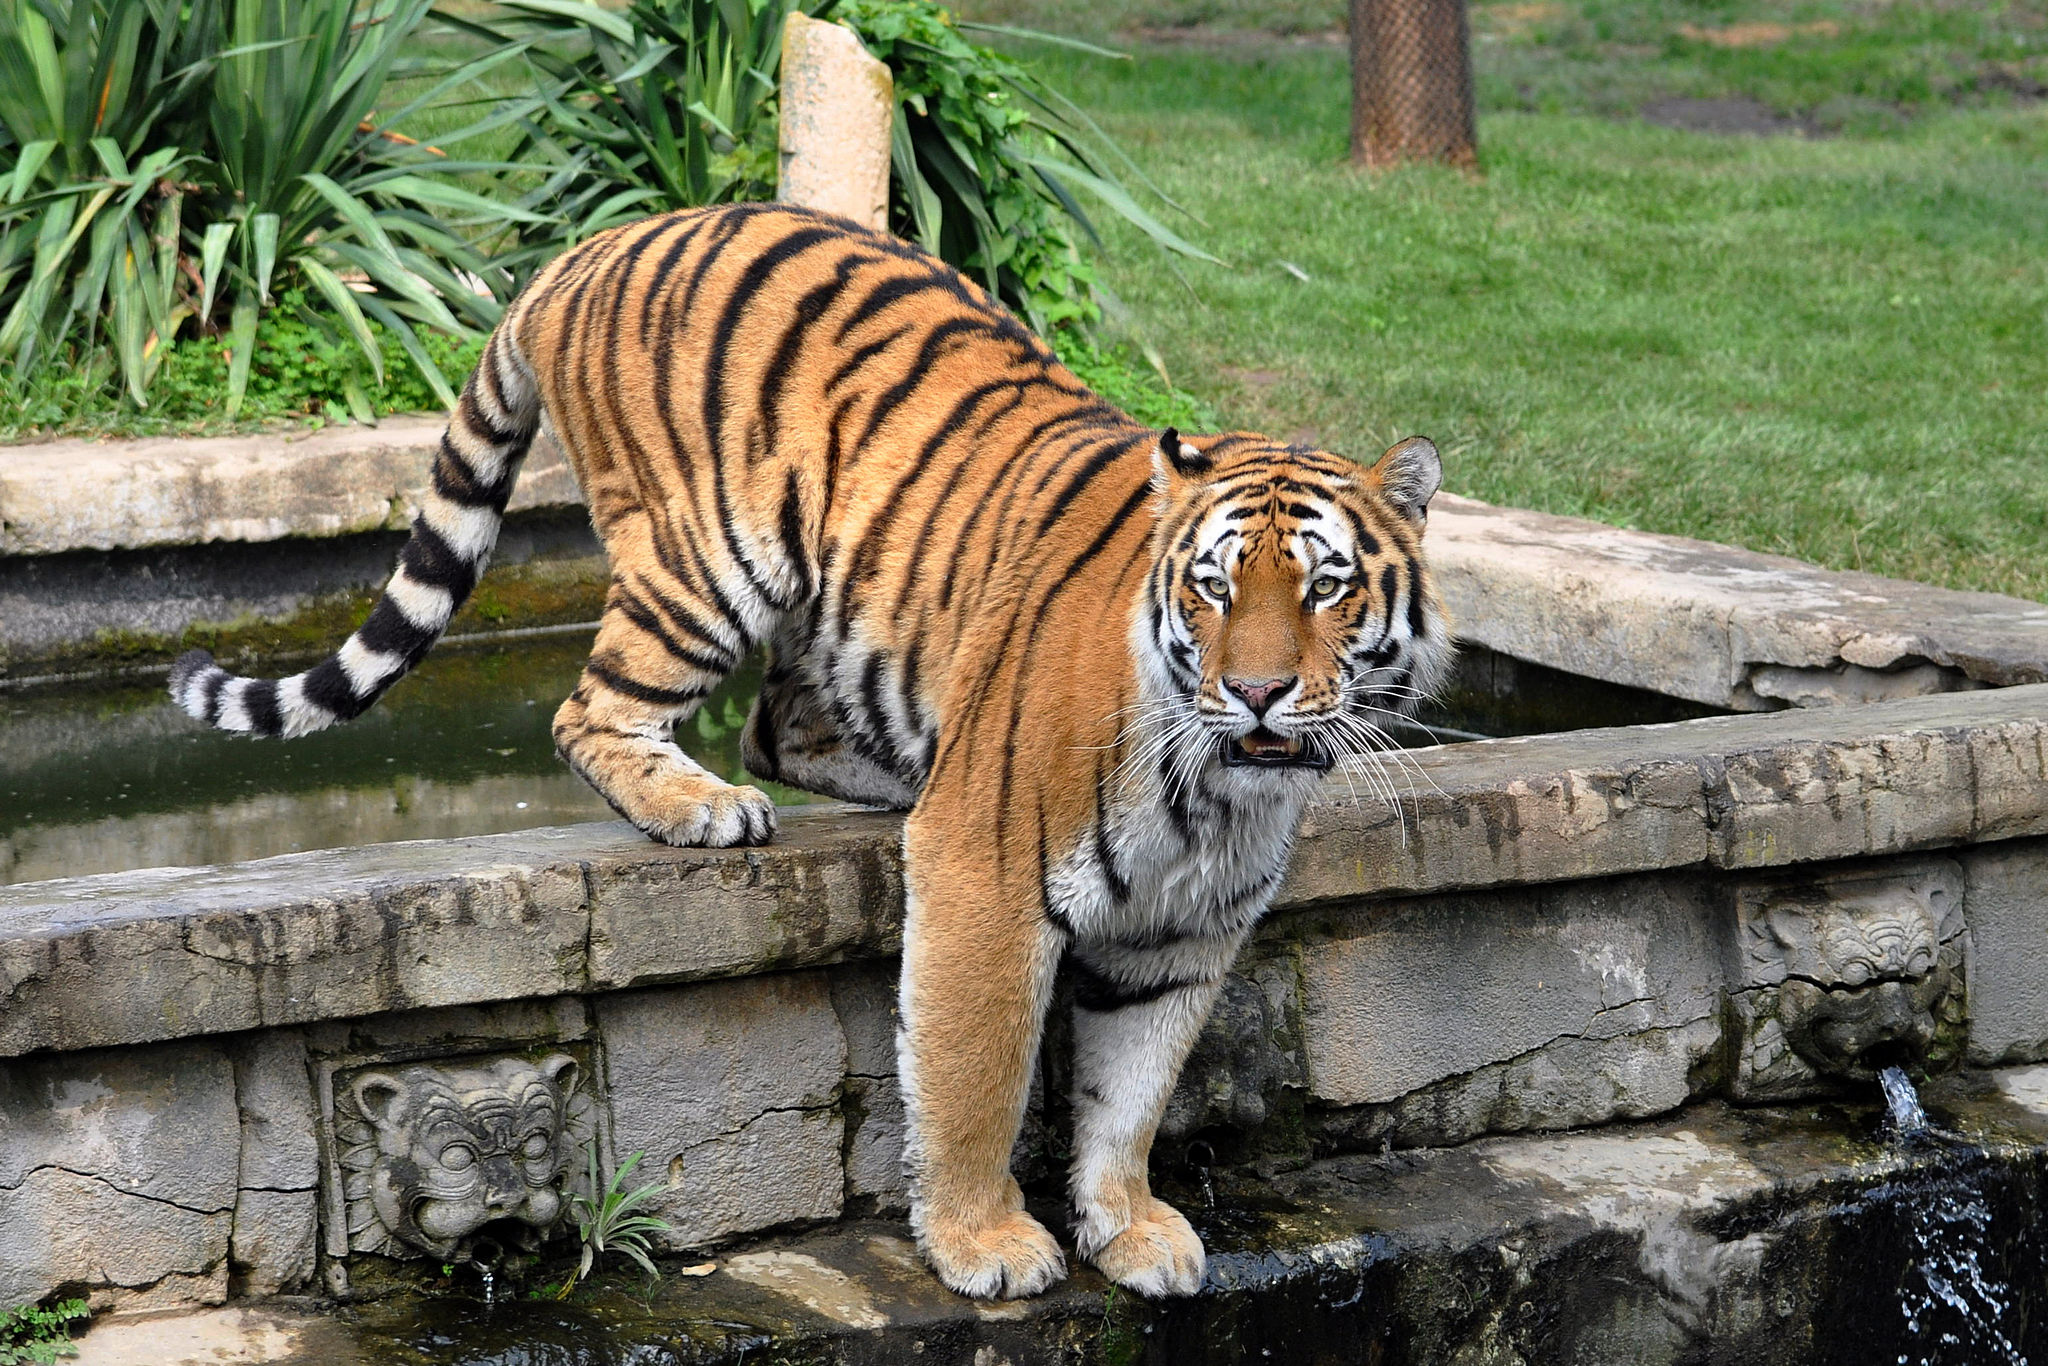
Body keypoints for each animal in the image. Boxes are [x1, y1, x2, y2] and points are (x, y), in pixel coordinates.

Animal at [169, 202, 1452, 1300]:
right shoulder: (985, 880)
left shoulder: (1187, 933)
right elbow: (975, 1075)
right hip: (708, 556)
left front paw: (1131, 1228)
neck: (1219, 790)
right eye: (1213, 586)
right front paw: (984, 1243)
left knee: (776, 717)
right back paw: (701, 806)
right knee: (596, 711)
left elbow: (1130, 1091)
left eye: (1325, 588)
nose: (1256, 691)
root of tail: (588, 247)